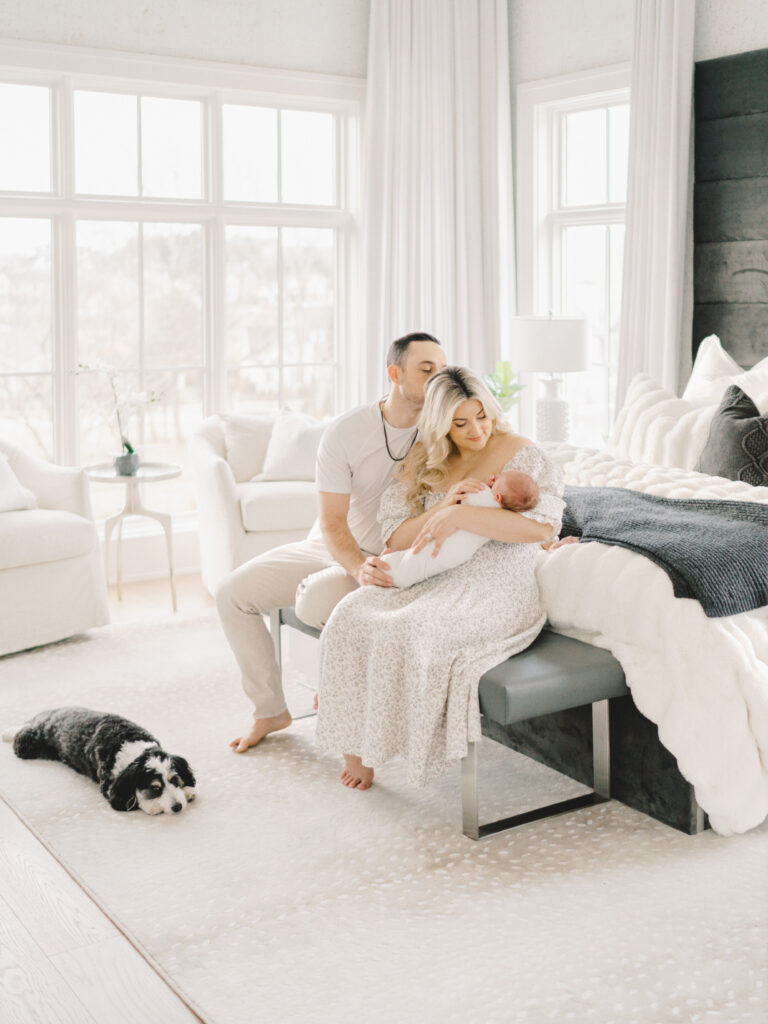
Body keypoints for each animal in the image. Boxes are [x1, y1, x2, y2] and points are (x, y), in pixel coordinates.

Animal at [3, 704, 195, 815]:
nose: (178, 807)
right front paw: (153, 806)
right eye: (155, 788)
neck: (129, 742)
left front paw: (187, 791)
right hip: (28, 744)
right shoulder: (108, 785)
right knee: (20, 733)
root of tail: (42, 717)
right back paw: (8, 732)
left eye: (175, 779)